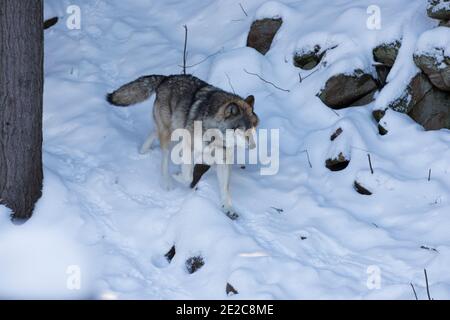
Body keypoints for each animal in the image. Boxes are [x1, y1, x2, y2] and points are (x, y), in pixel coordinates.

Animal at [107, 75, 258, 220]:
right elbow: (188, 176)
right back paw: (167, 182)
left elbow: (225, 188)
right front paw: (178, 176)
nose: (253, 146)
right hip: (169, 134)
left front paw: (228, 209)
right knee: (164, 158)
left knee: (153, 132)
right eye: (242, 130)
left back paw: (143, 151)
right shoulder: (187, 148)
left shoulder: (223, 161)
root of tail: (166, 78)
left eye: (253, 128)